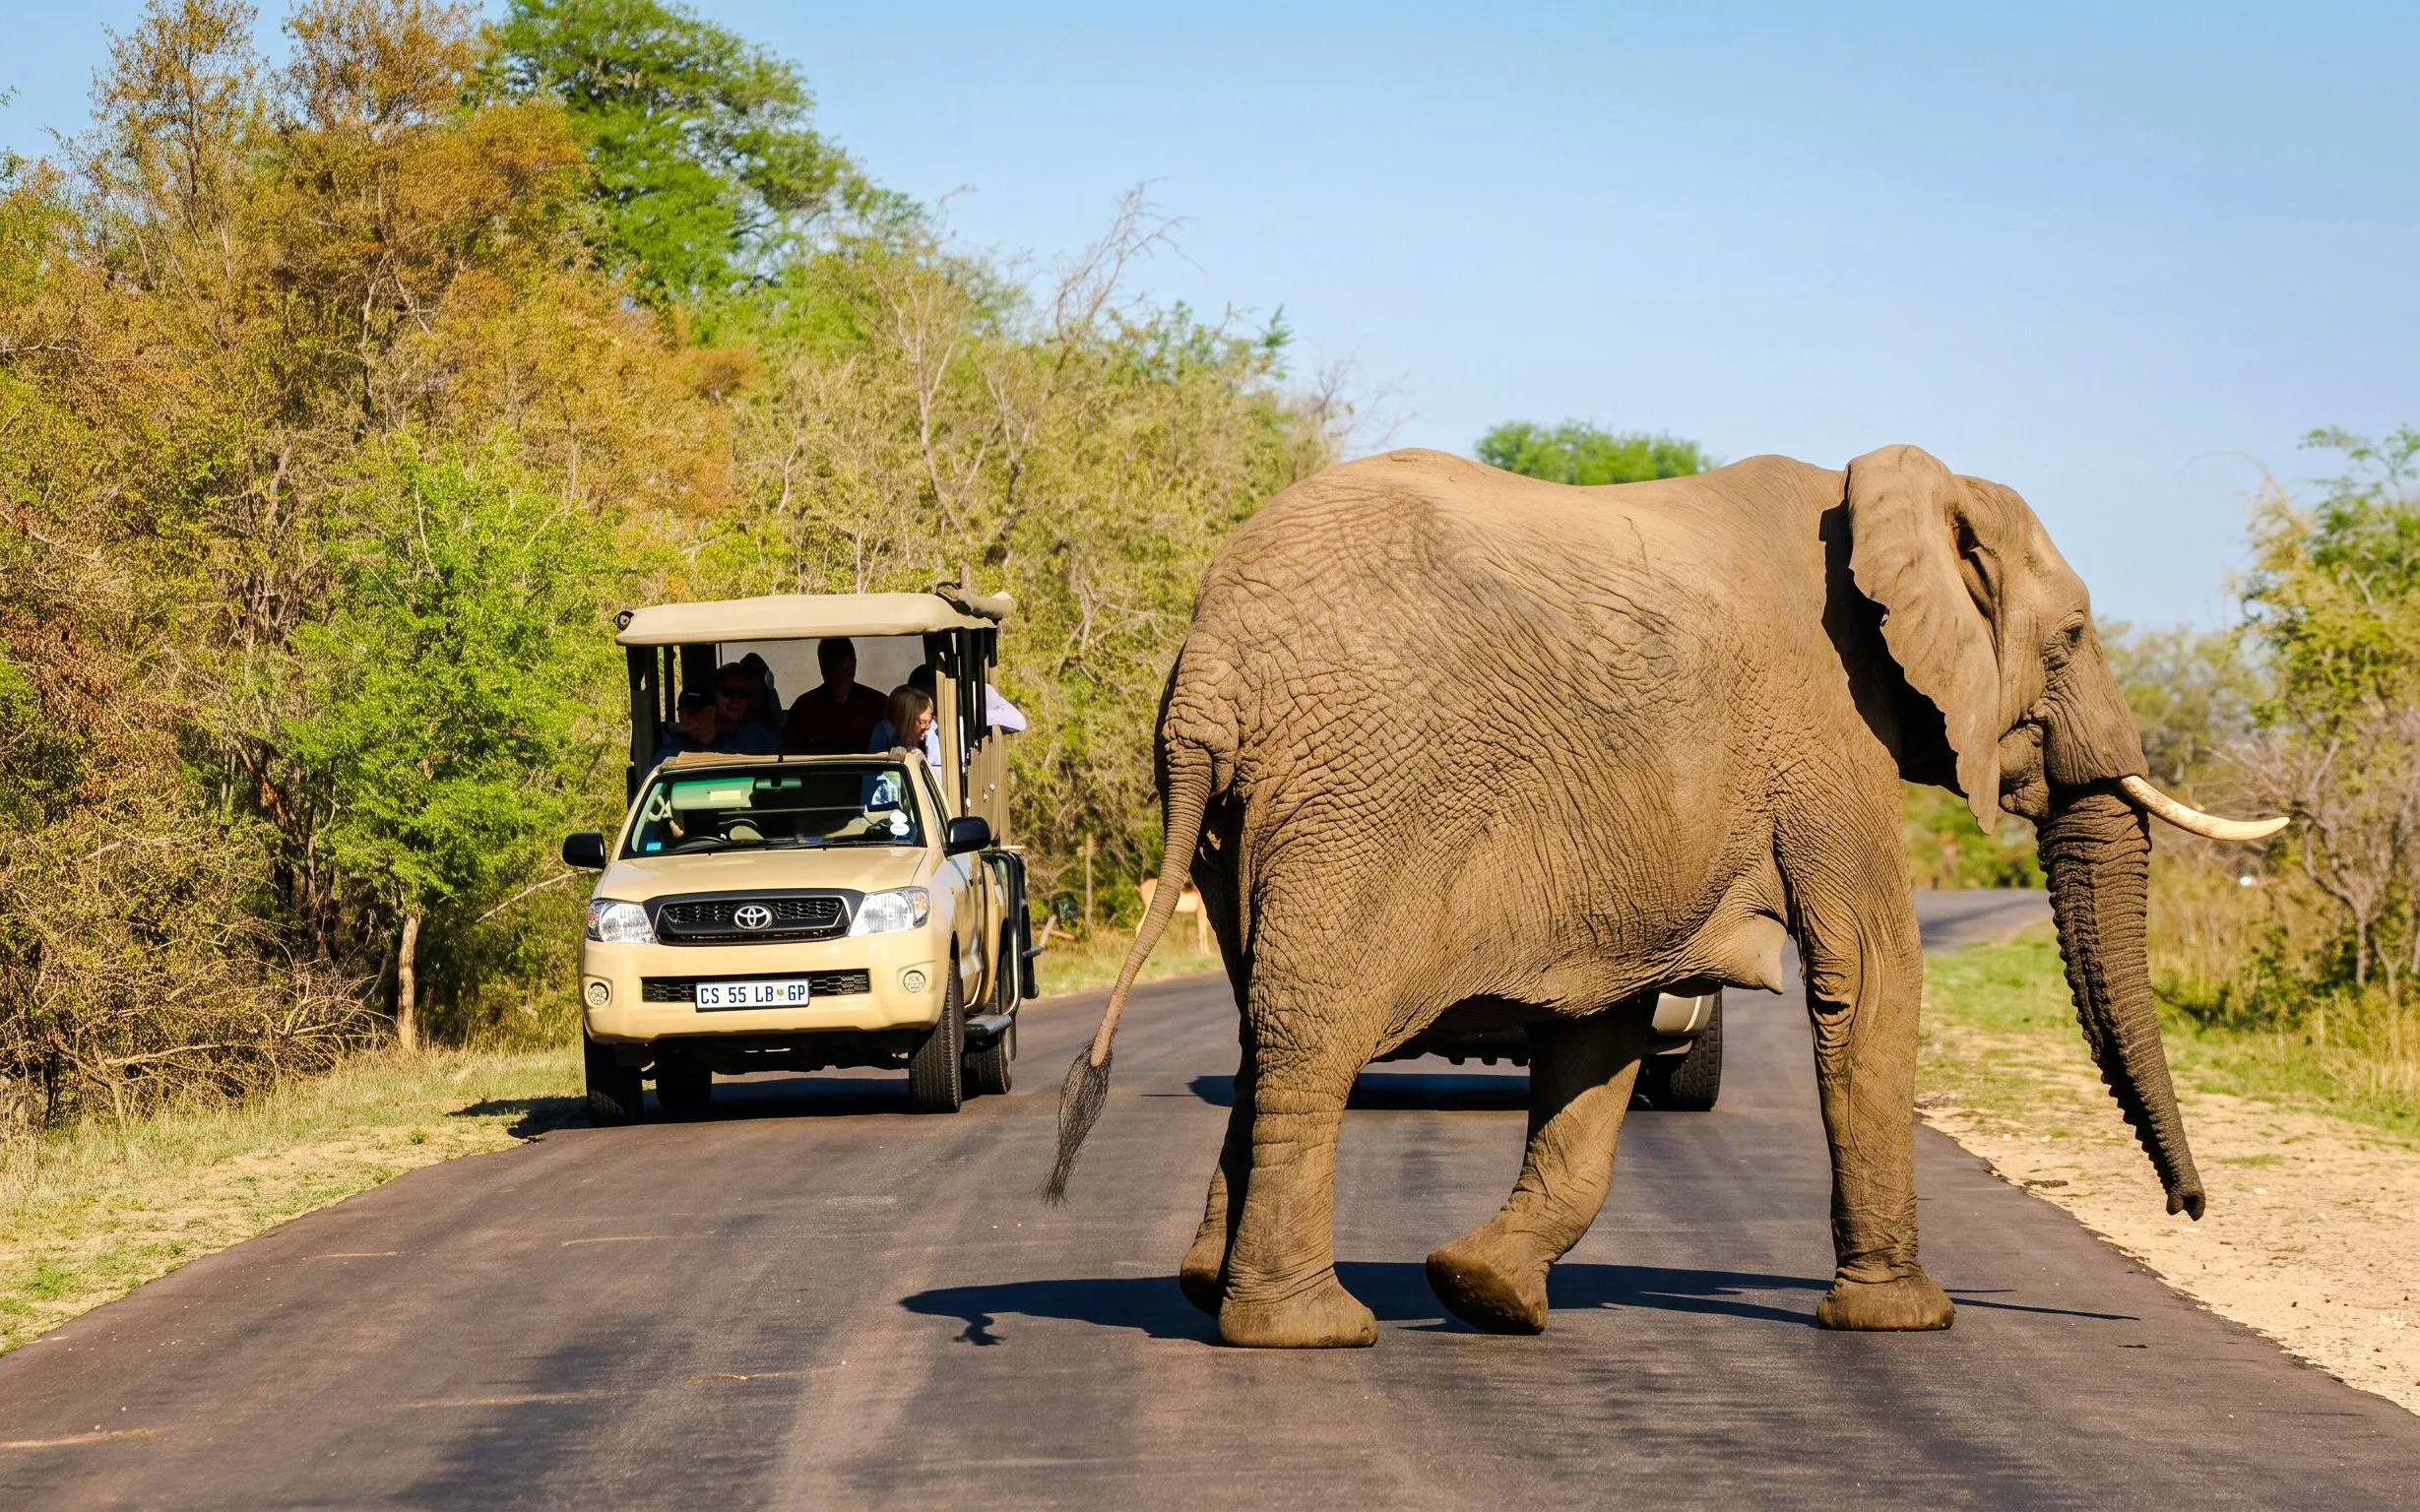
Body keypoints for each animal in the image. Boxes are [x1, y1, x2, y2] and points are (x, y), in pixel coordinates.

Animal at [1047, 445, 2283, 1349]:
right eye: (2068, 637)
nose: (2188, 1212)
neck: (1883, 493)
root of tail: (1209, 663)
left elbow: (1604, 1025)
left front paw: (1485, 1294)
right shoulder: (1827, 729)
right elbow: (1873, 968)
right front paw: (1905, 1321)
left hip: (1244, 814)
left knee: (1261, 1024)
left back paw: (1209, 1292)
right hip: (1360, 790)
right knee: (1313, 1032)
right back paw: (1307, 1330)